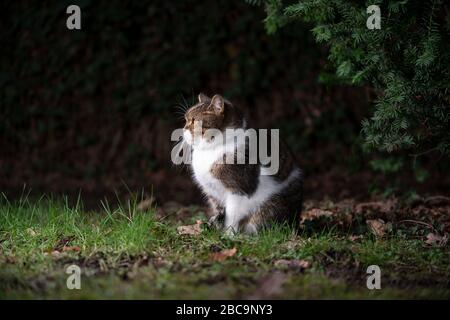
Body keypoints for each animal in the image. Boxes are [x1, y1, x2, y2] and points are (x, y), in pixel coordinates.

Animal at [183, 92, 302, 235]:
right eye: (185, 120)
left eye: (194, 121)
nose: (183, 129)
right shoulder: (213, 193)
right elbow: (219, 212)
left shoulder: (238, 190)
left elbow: (231, 216)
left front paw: (228, 235)